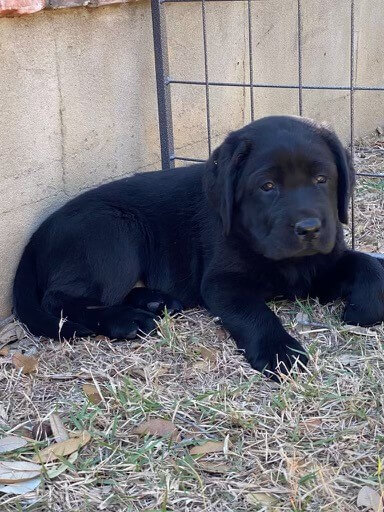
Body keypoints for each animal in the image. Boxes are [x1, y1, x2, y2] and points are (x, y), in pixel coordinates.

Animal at [12, 117, 384, 380]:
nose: (309, 229)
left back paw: (156, 301)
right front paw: (280, 351)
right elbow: (255, 313)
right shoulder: (222, 284)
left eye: (322, 179)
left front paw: (364, 307)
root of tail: (37, 235)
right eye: (267, 186)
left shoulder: (320, 264)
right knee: (61, 299)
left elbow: (366, 264)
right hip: (114, 232)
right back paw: (128, 319)